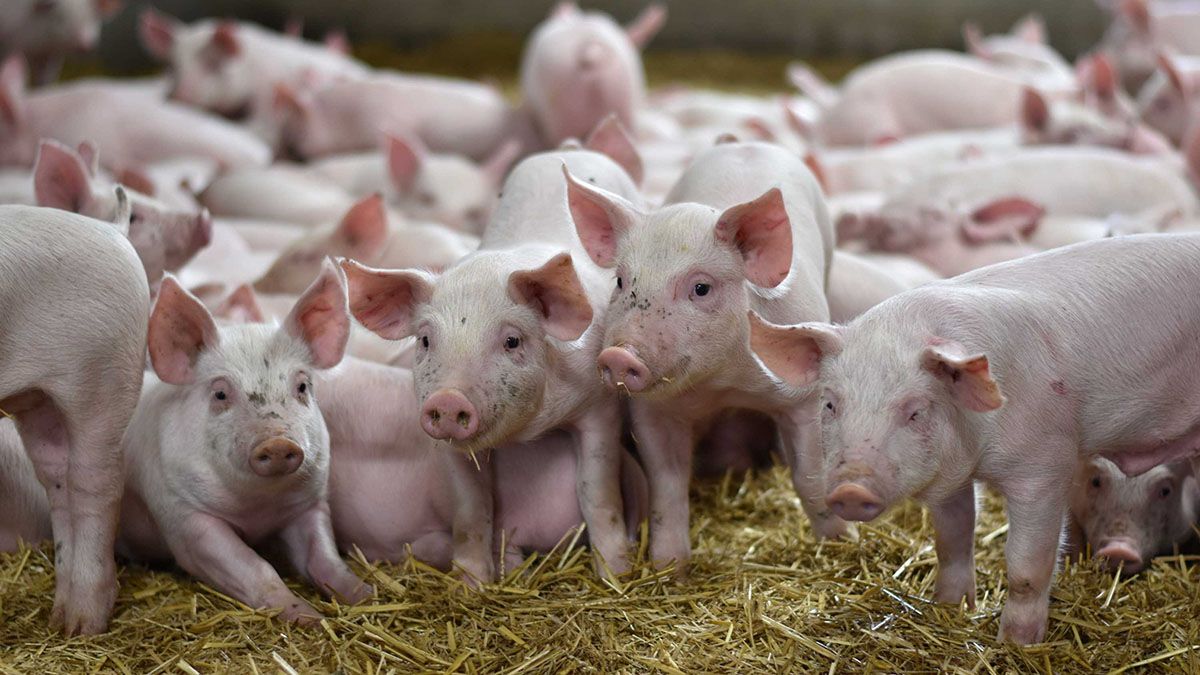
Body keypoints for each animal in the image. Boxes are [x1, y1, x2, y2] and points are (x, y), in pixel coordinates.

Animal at [0, 204, 149, 634]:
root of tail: (112, 229)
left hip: (104, 377)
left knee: (97, 483)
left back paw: (83, 626)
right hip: (38, 402)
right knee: (57, 478)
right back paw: (58, 621)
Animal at [118, 264, 371, 622]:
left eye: (302, 386)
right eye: (221, 393)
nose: (277, 442)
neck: (258, 507)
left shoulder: (310, 504)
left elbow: (326, 559)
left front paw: (366, 595)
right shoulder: (183, 514)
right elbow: (256, 569)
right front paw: (310, 619)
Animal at [562, 140, 846, 572]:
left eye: (701, 288)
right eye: (621, 281)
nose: (619, 355)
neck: (725, 383)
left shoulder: (804, 397)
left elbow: (810, 476)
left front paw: (840, 544)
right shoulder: (653, 412)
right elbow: (667, 485)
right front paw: (668, 570)